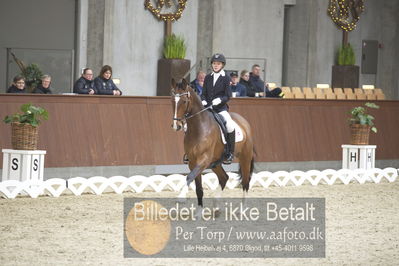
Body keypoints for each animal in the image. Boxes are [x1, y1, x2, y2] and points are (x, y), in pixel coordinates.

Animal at [170, 79, 255, 208]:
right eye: (172, 101)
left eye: (184, 101)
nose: (177, 126)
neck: (199, 128)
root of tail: (244, 122)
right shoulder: (193, 161)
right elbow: (198, 189)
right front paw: (199, 210)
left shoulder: (203, 160)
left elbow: (189, 177)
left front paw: (181, 197)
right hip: (215, 162)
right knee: (224, 177)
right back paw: (216, 205)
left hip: (245, 158)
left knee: (245, 182)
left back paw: (243, 208)